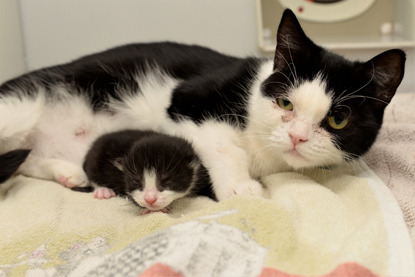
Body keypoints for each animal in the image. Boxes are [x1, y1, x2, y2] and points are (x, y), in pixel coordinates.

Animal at [0, 9, 404, 199]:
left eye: (338, 120)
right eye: (285, 102)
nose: (297, 137)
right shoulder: (186, 100)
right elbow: (221, 144)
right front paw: (240, 187)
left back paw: (67, 172)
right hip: (18, 108)